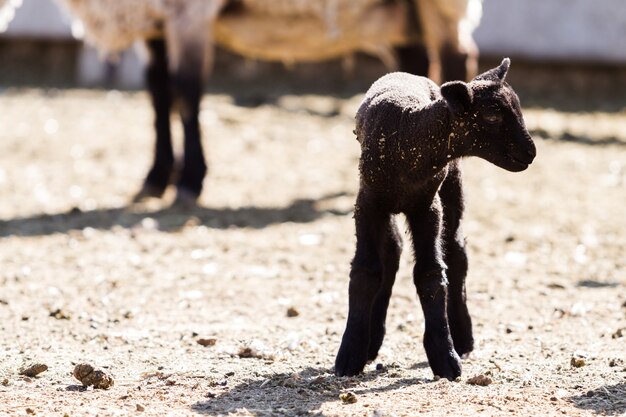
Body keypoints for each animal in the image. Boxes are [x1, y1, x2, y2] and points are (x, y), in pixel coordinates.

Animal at [53, 0, 480, 202]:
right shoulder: (154, 18)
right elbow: (159, 94)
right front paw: (156, 177)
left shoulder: (190, 13)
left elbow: (187, 92)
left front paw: (190, 180)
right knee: (416, 67)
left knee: (456, 59)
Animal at [334, 58, 532, 380]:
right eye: (491, 116)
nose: (530, 152)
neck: (410, 136)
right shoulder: (368, 204)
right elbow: (365, 273)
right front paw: (350, 354)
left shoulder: (428, 207)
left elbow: (430, 274)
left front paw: (445, 356)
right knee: (392, 252)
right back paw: (373, 339)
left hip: (451, 185)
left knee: (456, 252)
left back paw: (463, 338)